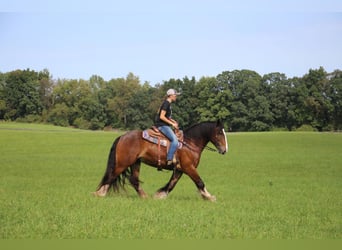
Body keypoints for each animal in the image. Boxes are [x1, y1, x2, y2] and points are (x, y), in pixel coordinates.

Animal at [92, 120, 228, 200]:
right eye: (219, 133)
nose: (225, 150)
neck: (189, 143)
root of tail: (122, 136)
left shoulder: (180, 169)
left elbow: (172, 184)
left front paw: (160, 195)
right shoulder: (189, 167)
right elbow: (200, 182)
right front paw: (209, 196)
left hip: (136, 163)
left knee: (133, 179)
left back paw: (144, 196)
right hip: (123, 163)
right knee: (111, 176)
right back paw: (100, 193)